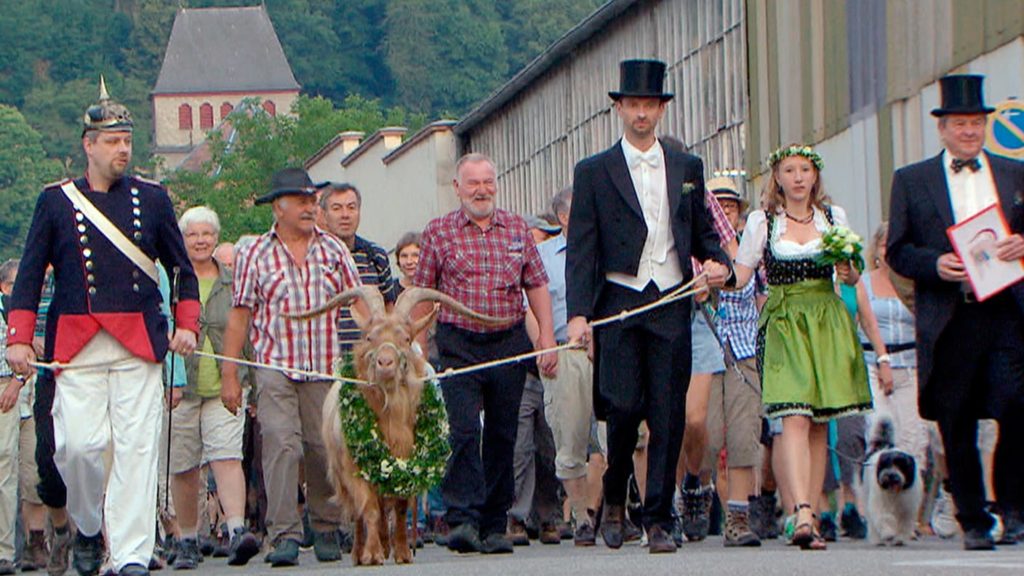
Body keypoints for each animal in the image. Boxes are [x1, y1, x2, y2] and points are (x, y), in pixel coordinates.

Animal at [299, 284, 507, 561]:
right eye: (369, 337)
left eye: (406, 339)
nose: (385, 363)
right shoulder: (354, 469)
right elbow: (369, 509)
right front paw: (372, 554)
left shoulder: (408, 465)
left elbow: (398, 509)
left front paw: (401, 552)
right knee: (359, 512)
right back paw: (359, 551)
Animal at [860, 414, 925, 545]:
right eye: (885, 464)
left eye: (901, 465)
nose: (889, 475)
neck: (895, 491)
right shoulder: (879, 502)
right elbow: (883, 517)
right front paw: (888, 534)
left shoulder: (907, 508)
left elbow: (903, 523)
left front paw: (899, 539)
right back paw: (877, 540)